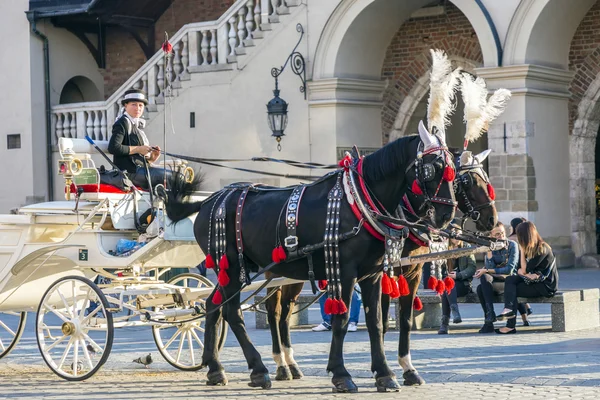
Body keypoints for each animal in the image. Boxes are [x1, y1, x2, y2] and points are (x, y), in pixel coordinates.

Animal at [163, 130, 454, 390]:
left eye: (452, 168)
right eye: (433, 168)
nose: (446, 215)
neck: (359, 201)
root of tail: (207, 202)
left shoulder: (372, 274)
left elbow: (377, 323)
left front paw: (385, 374)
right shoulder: (345, 271)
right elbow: (342, 319)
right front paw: (341, 374)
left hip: (235, 270)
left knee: (214, 305)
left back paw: (215, 368)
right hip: (232, 267)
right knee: (233, 311)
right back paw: (259, 369)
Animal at [260, 147, 500, 382]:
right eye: (467, 180)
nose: (492, 220)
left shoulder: (412, 272)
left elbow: (403, 320)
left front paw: (406, 368)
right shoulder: (385, 273)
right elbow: (381, 321)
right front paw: (384, 368)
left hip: (292, 276)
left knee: (285, 312)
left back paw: (291, 364)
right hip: (273, 273)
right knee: (274, 312)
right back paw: (281, 365)